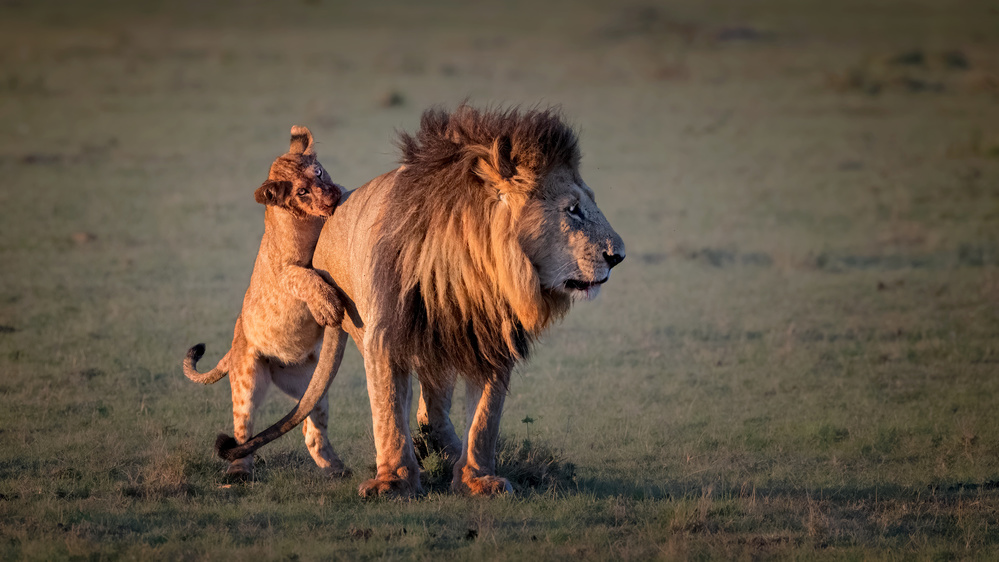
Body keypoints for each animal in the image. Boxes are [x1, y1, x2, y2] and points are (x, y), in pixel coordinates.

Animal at [219, 104, 624, 494]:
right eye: (572, 209)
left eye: (586, 204)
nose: (618, 256)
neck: (468, 271)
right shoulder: (383, 334)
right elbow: (387, 410)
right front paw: (394, 481)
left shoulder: (489, 338)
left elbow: (485, 418)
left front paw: (477, 479)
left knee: (434, 405)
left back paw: (448, 449)